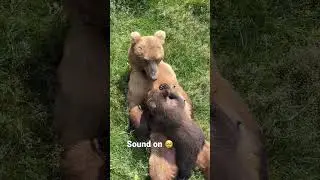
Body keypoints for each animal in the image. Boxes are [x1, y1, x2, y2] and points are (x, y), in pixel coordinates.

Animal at [126, 31, 211, 180]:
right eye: (145, 59)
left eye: (158, 58)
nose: (154, 76)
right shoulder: (137, 82)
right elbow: (135, 106)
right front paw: (140, 131)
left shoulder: (169, 72)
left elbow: (182, 96)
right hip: (163, 149)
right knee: (160, 170)